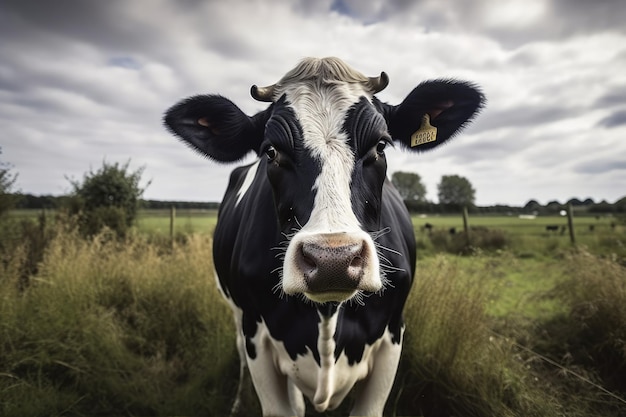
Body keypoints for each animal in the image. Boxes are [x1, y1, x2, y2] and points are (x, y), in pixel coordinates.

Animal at [162, 56, 482, 416]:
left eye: (380, 145)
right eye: (270, 151)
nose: (334, 260)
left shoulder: (393, 334)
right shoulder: (256, 335)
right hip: (236, 313)